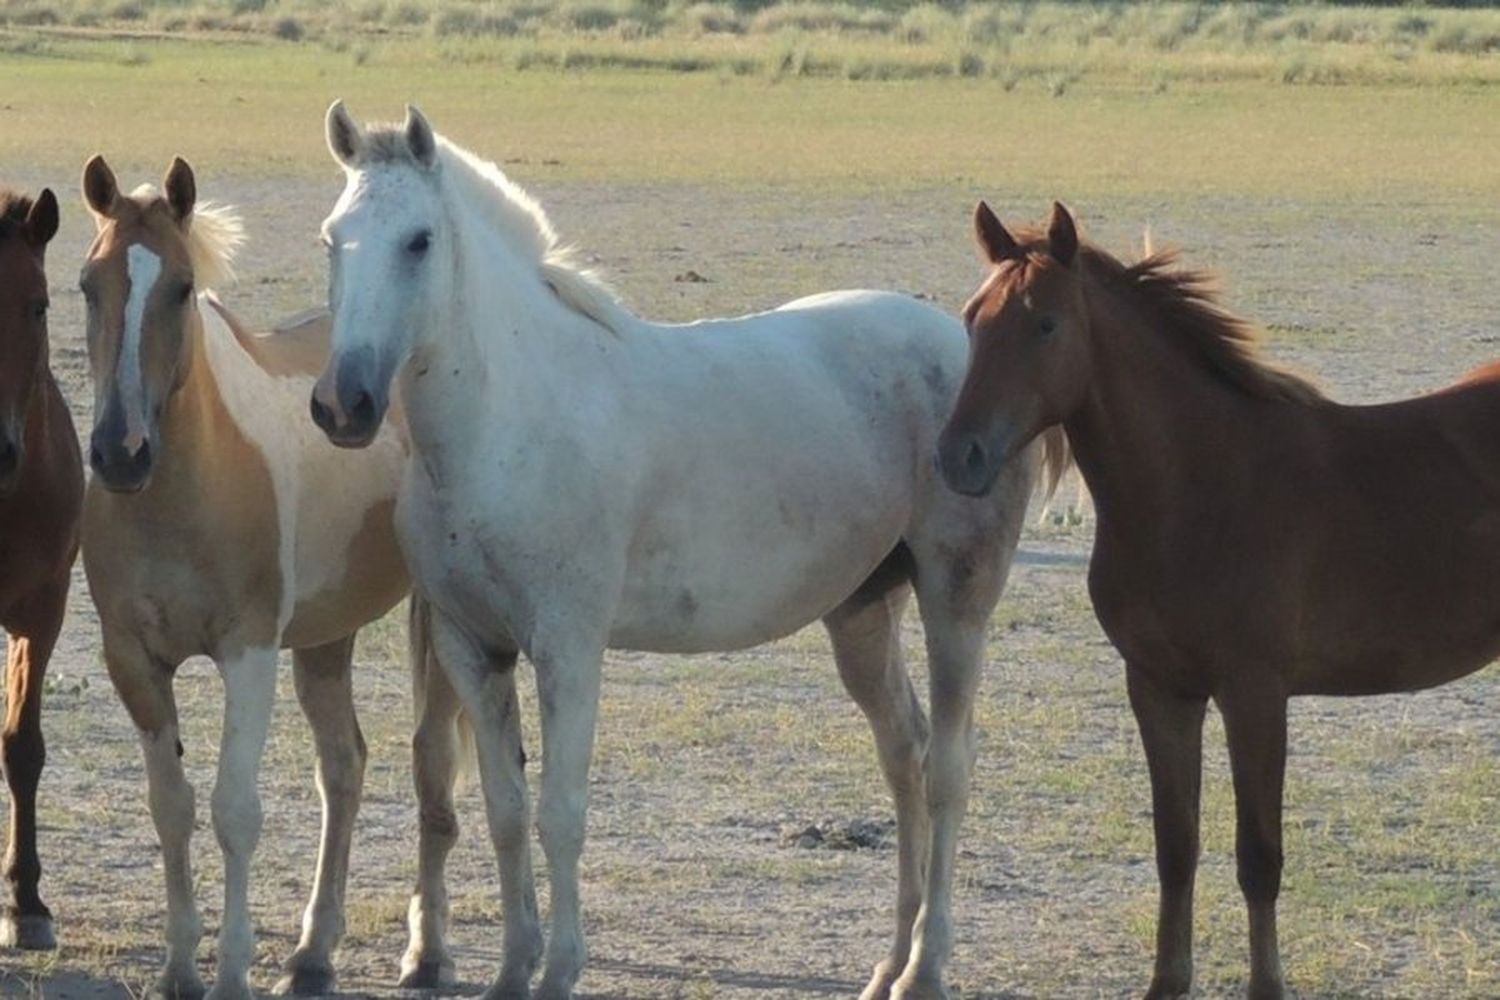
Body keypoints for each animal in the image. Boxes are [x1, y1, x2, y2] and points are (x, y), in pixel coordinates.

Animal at [76, 156, 468, 1000]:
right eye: (89, 284)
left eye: (182, 287)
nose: (121, 452)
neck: (188, 484)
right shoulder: (133, 662)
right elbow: (171, 806)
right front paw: (179, 965)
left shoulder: (247, 654)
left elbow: (234, 810)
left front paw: (229, 969)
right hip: (326, 639)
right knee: (344, 770)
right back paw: (313, 951)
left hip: (445, 626)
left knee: (431, 768)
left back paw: (426, 952)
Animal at [304, 101, 1068, 1000]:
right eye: (332, 238)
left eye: (419, 240)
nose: (343, 405)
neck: (510, 419)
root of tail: (966, 354)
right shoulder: (471, 648)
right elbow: (505, 810)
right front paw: (514, 966)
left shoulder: (568, 649)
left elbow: (561, 813)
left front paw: (559, 968)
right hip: (862, 613)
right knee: (904, 755)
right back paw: (887, 963)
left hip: (957, 602)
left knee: (946, 770)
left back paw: (925, 966)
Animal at [936, 200, 1500, 1000]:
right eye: (971, 319)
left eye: (1044, 324)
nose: (961, 457)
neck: (1199, 486)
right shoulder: (1160, 688)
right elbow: (1177, 844)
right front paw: (1166, 981)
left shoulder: (1254, 693)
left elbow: (1258, 856)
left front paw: (1268, 986)